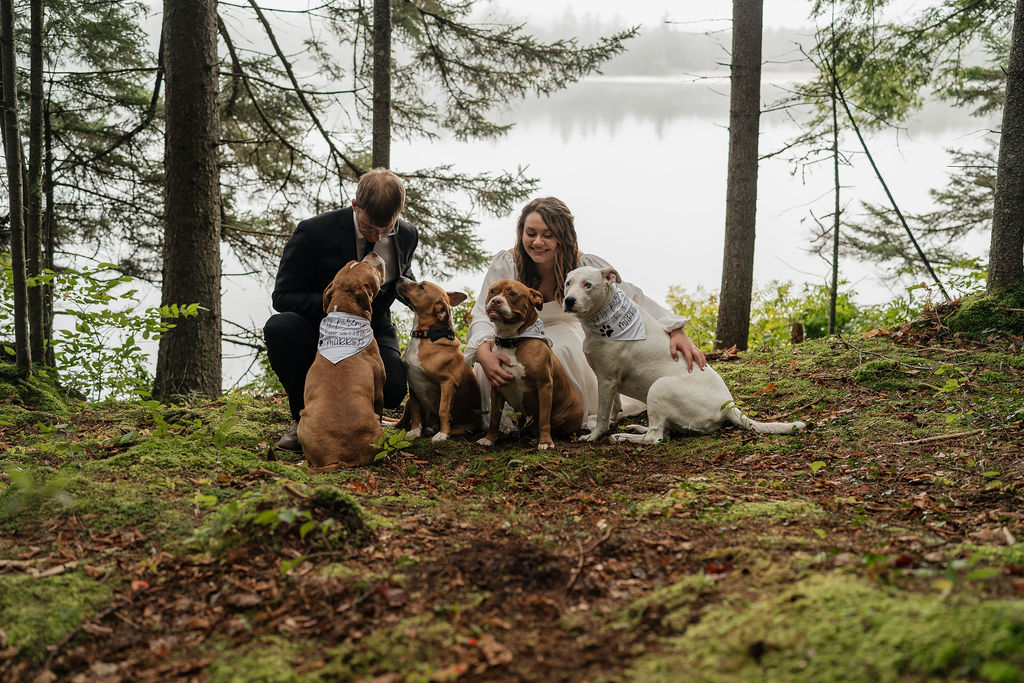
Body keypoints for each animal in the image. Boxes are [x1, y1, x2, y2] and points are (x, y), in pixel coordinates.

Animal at [395, 278, 483, 444]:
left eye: (421, 287)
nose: (400, 278)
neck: (426, 336)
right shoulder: (413, 386)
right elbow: (416, 412)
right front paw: (415, 431)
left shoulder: (447, 383)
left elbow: (443, 411)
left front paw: (442, 434)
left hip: (469, 425)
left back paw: (440, 431)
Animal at [473, 278, 581, 448]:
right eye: (492, 291)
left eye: (512, 293)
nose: (495, 300)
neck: (511, 340)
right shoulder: (496, 388)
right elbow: (494, 418)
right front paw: (489, 438)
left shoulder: (544, 386)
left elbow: (544, 418)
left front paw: (546, 442)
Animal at [565, 264, 802, 446]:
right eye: (568, 283)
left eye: (587, 285)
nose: (568, 300)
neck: (603, 316)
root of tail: (728, 405)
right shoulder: (609, 381)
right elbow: (613, 407)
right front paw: (610, 423)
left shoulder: (606, 380)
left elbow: (603, 414)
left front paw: (595, 435)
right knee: (662, 431)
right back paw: (638, 428)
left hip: (658, 387)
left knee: (656, 437)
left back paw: (625, 437)